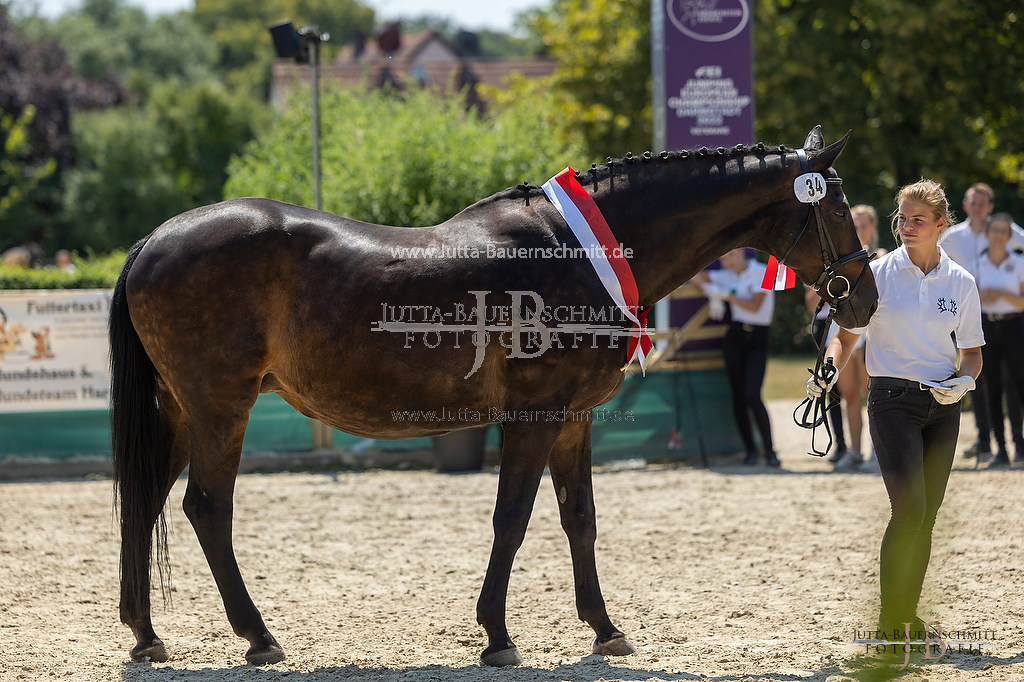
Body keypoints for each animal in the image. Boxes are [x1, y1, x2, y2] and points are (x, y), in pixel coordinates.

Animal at [112, 125, 880, 663]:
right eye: (839, 208)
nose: (864, 299)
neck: (577, 254)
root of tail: (152, 239)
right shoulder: (533, 419)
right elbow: (511, 519)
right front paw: (498, 636)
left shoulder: (573, 422)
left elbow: (580, 520)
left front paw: (604, 628)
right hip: (221, 408)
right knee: (207, 508)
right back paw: (258, 636)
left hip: (179, 410)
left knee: (145, 500)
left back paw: (146, 635)